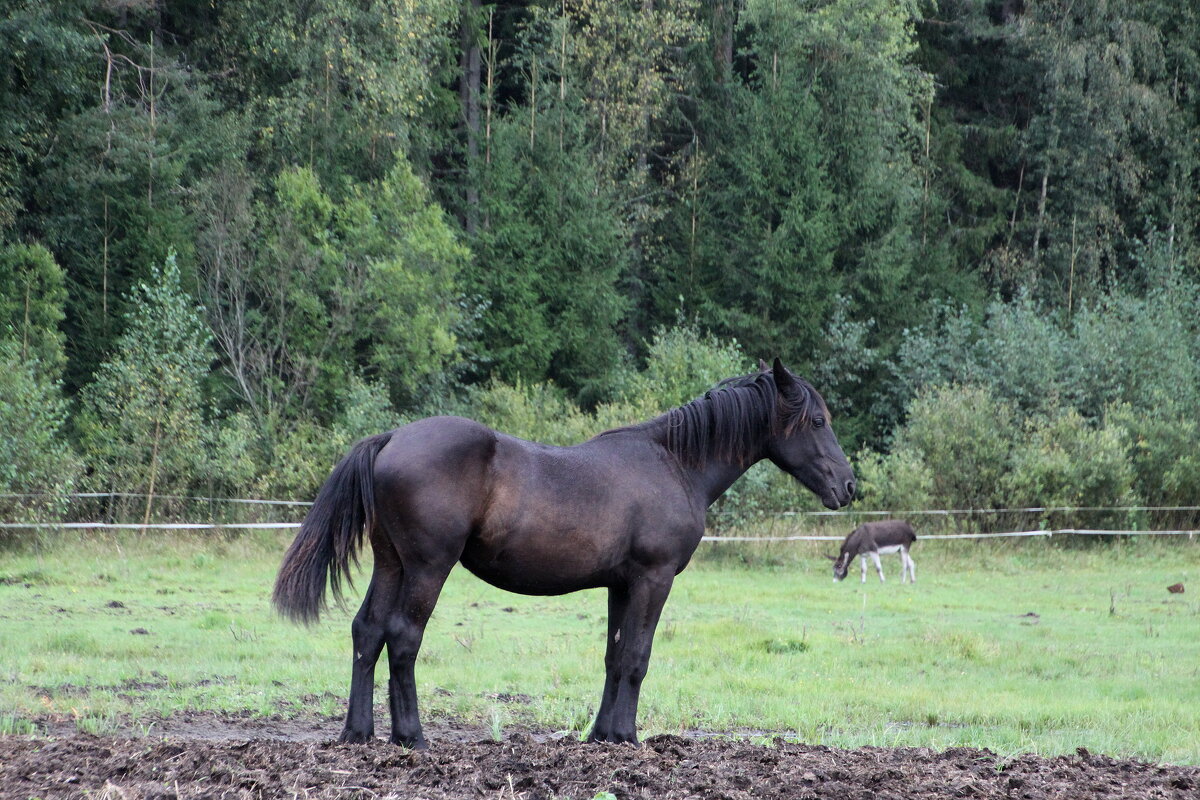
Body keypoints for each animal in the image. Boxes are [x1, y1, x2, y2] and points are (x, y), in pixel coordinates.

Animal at [274, 359, 854, 748]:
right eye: (818, 421)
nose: (848, 487)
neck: (674, 463)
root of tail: (393, 437)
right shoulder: (654, 578)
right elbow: (637, 657)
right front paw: (628, 737)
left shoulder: (622, 584)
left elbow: (614, 656)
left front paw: (602, 735)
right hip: (426, 568)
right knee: (402, 636)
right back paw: (411, 736)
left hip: (391, 563)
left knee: (367, 631)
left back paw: (359, 732)